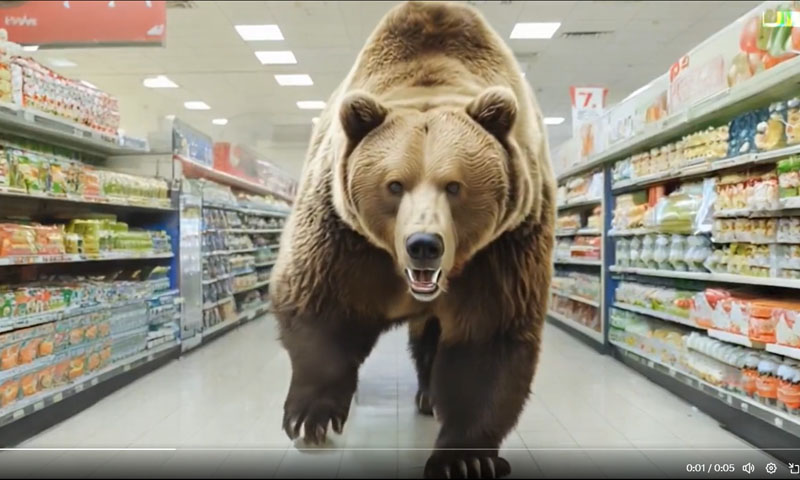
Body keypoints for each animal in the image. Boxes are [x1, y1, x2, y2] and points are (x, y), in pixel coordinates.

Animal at [269, 1, 555, 478]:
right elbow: (318, 304)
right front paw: (311, 416)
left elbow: (488, 337)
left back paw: (428, 396)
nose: (424, 243)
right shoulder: (342, 234)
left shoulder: (504, 248)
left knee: (431, 337)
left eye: (454, 186)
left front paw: (467, 458)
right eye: (394, 184)